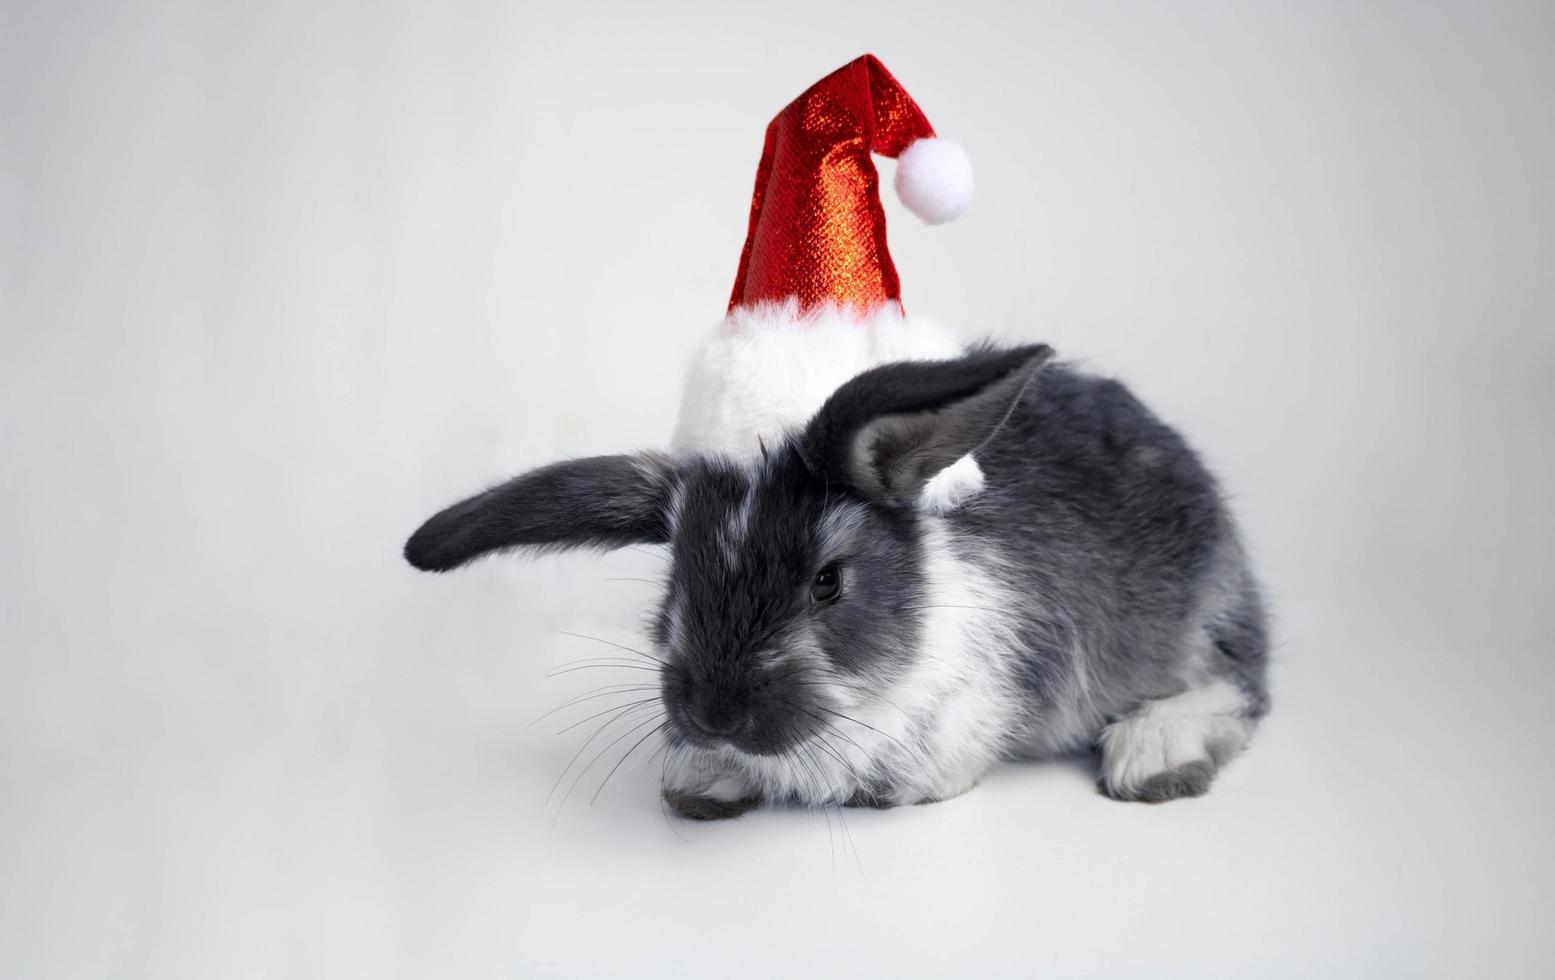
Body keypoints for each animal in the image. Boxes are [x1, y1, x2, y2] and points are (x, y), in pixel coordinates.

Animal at [407, 345, 1268, 821]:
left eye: (827, 583)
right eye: (675, 577)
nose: (714, 713)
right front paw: (703, 779)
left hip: (1197, 616)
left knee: (1238, 684)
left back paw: (1151, 753)